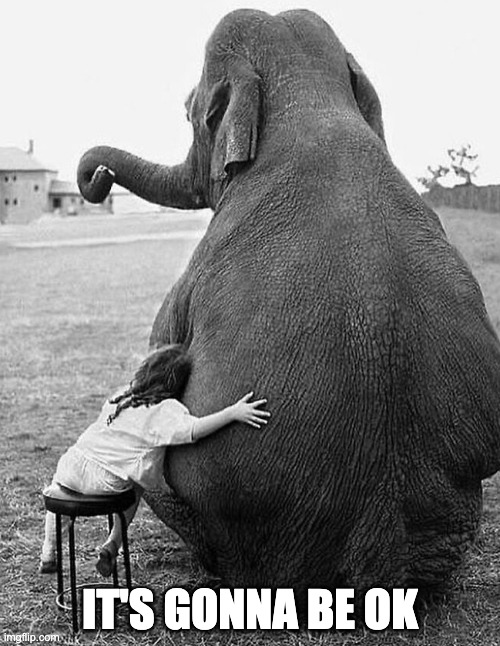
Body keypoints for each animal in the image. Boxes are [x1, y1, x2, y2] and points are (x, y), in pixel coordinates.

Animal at [77, 9, 500, 605]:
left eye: (189, 109)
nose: (99, 179)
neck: (311, 101)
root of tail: (381, 558)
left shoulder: (194, 271)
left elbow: (161, 352)